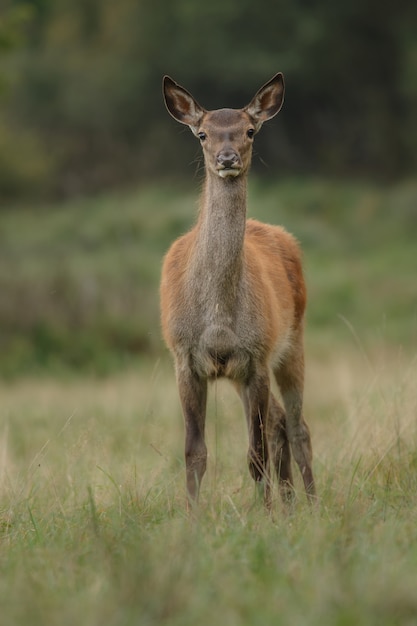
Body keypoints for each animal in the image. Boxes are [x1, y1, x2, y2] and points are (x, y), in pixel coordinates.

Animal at [161, 73, 314, 510]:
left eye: (249, 130)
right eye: (202, 134)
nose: (227, 157)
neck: (217, 317)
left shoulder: (256, 355)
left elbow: (254, 453)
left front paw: (265, 516)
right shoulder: (185, 357)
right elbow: (195, 453)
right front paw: (192, 518)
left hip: (292, 340)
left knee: (296, 426)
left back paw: (311, 504)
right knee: (280, 422)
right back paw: (292, 504)